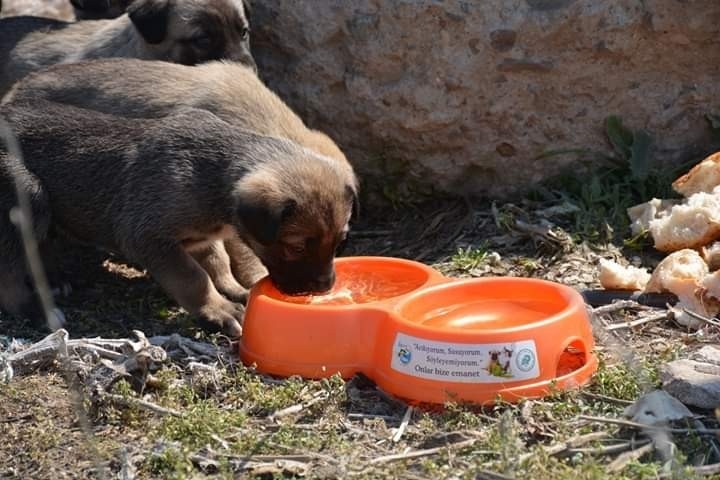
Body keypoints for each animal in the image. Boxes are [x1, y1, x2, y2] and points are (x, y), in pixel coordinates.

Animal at [0, 99, 360, 336]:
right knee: (10, 271)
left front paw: (233, 289)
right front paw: (218, 309)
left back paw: (53, 279)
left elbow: (217, 262)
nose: (325, 287)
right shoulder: (147, 236)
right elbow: (192, 277)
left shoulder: (203, 237)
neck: (214, 175)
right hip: (27, 193)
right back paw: (36, 310)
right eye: (296, 246)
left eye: (340, 243)